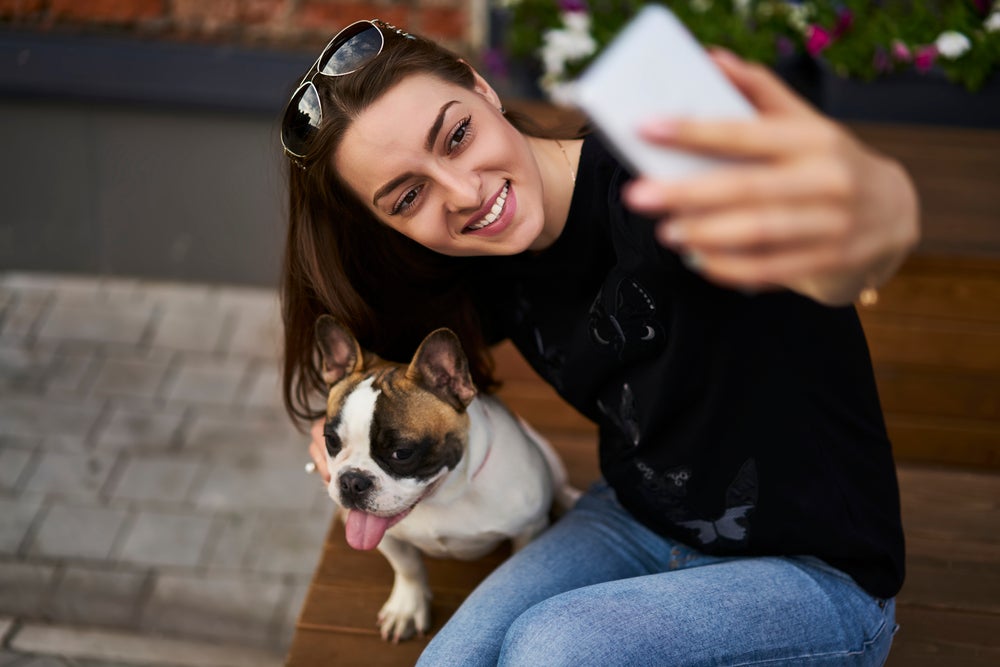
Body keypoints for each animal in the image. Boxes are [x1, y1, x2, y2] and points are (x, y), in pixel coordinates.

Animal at [312, 316, 580, 644]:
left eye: (402, 453)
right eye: (330, 441)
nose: (352, 481)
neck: (442, 496)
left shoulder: (528, 529)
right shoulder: (385, 537)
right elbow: (408, 567)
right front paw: (407, 609)